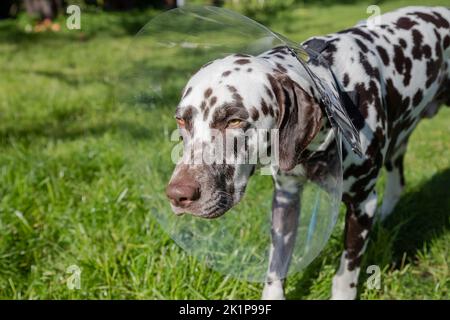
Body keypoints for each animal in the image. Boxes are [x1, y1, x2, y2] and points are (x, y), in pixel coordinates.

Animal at [166, 6, 450, 300]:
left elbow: (345, 276)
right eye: (181, 120)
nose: (177, 194)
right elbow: (276, 267)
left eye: (234, 120)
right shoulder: (286, 199)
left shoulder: (362, 205)